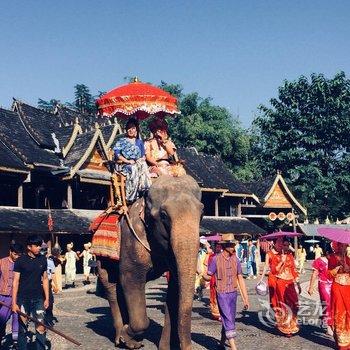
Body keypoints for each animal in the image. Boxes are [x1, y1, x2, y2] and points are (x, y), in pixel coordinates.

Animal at [97, 175, 204, 350]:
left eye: (202, 213)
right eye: (164, 215)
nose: (187, 346)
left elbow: (175, 286)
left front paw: (165, 347)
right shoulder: (132, 238)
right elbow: (131, 278)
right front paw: (128, 336)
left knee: (119, 288)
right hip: (102, 256)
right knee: (110, 287)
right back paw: (122, 339)